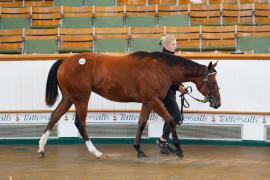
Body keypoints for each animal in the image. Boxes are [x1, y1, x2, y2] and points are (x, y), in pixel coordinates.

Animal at [38, 51, 220, 159]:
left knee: (54, 117)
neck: (160, 69)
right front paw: (179, 149)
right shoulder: (154, 100)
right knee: (80, 123)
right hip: (81, 98)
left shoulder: (147, 102)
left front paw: (138, 149)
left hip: (69, 98)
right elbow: (170, 120)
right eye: (212, 82)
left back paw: (41, 148)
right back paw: (96, 152)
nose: (218, 103)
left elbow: (141, 123)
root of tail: (65, 61)